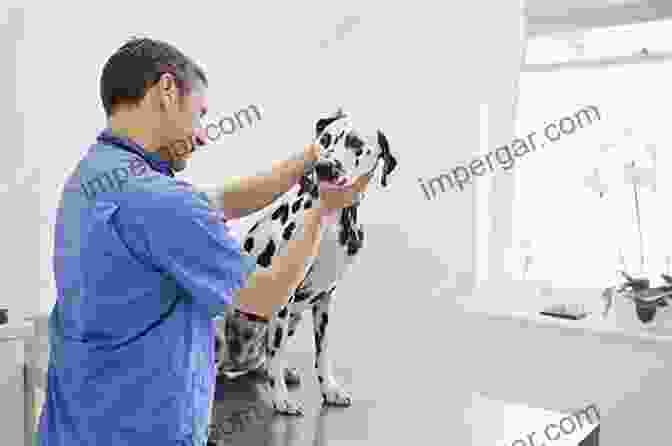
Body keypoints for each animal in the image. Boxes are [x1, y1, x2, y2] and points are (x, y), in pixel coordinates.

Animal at [213, 108, 396, 414]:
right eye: (325, 139)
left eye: (356, 143)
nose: (324, 167)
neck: (332, 221)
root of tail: (236, 362)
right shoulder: (283, 301)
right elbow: (276, 353)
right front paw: (281, 398)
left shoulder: (324, 300)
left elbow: (322, 353)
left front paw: (329, 389)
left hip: (294, 319)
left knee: (263, 361)